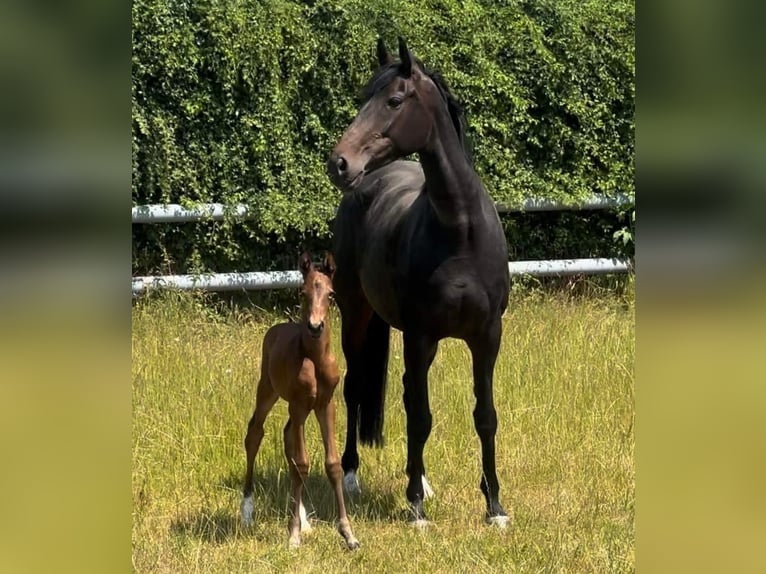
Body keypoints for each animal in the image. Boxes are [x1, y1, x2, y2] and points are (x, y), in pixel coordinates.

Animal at [242, 254, 362, 552]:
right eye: (302, 292)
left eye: (331, 294)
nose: (315, 327)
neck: (315, 359)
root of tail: (277, 328)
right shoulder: (297, 404)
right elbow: (303, 462)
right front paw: (293, 534)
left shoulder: (325, 405)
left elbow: (332, 465)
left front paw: (348, 534)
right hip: (268, 390)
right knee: (255, 433)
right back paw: (247, 512)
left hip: (302, 409)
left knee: (286, 437)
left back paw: (304, 517)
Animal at [328, 38, 512, 528]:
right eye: (362, 99)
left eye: (394, 101)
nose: (339, 163)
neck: (461, 231)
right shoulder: (421, 335)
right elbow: (421, 416)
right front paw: (415, 508)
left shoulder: (487, 337)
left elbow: (484, 416)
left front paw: (495, 507)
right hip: (356, 315)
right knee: (356, 387)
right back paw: (352, 475)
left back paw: (424, 479)